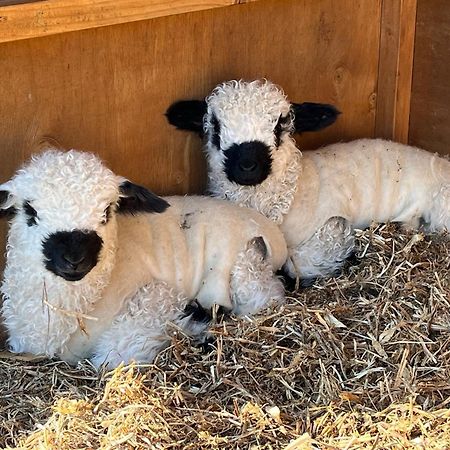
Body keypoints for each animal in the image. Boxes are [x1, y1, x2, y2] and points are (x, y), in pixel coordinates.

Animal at [0, 149, 286, 368]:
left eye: (107, 212)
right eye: (30, 211)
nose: (74, 259)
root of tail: (274, 231)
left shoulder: (157, 297)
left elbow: (113, 356)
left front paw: (194, 322)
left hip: (247, 266)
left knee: (266, 295)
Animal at [165, 79, 450, 280]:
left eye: (279, 127)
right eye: (215, 127)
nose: (247, 165)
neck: (289, 193)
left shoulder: (331, 227)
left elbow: (296, 265)